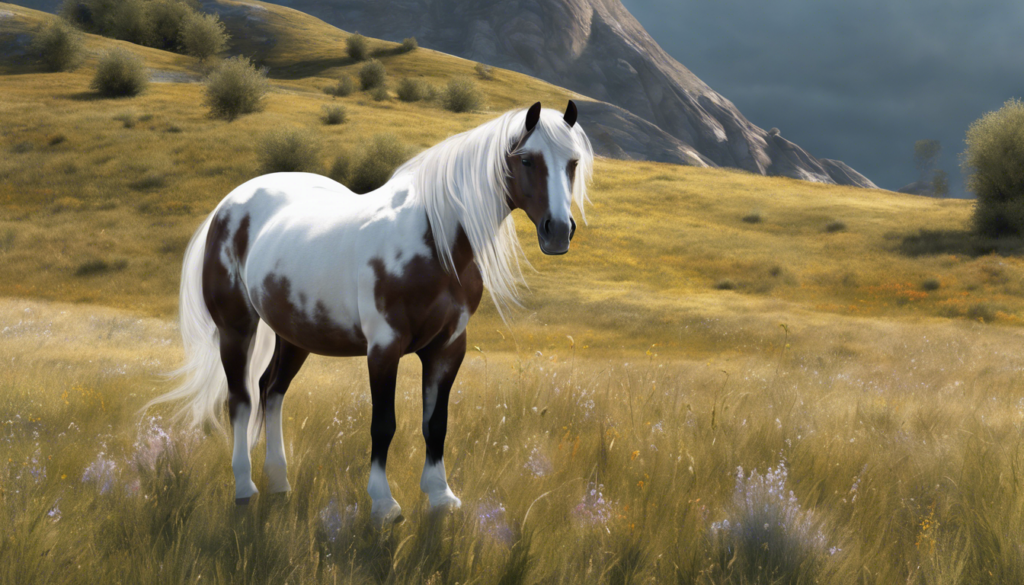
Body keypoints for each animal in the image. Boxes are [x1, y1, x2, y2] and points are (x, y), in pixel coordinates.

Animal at [147, 101, 594, 525]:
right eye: (527, 160)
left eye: (572, 162)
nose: (558, 231)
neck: (433, 239)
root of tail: (227, 206)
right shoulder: (384, 347)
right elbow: (384, 424)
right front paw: (384, 504)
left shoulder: (449, 347)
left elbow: (436, 423)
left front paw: (441, 497)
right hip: (237, 328)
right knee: (240, 399)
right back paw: (245, 488)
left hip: (295, 334)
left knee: (270, 391)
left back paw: (279, 483)